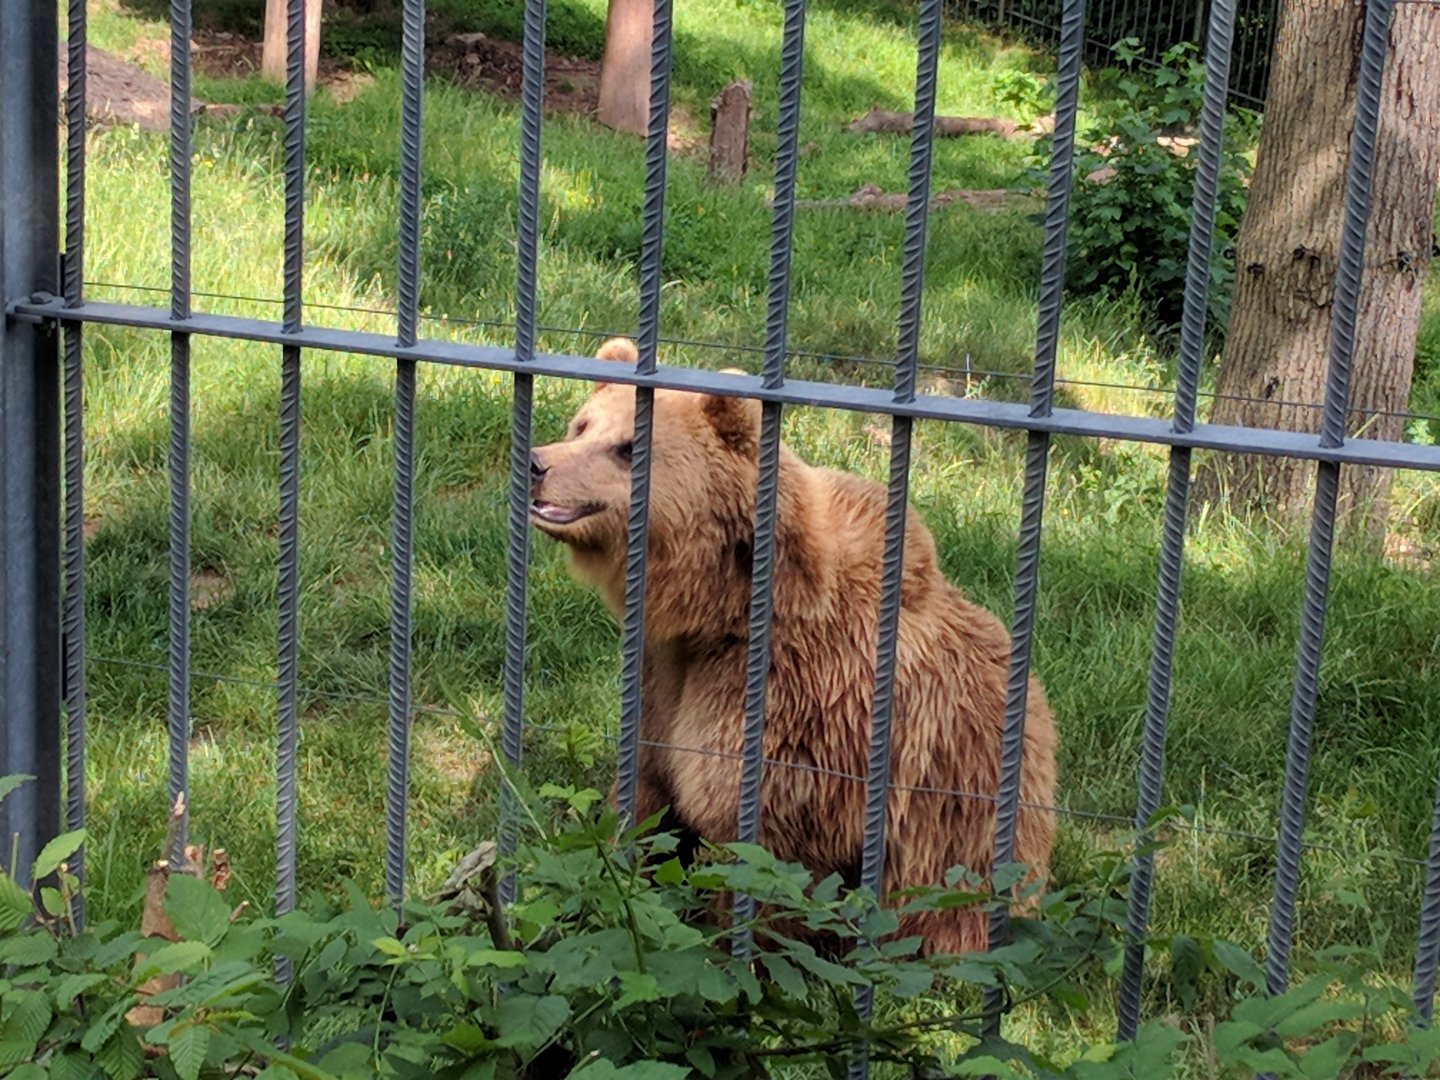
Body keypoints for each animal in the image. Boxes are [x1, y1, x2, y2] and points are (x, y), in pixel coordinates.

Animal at [528, 337, 1058, 956]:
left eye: (628, 447)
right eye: (582, 424)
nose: (539, 463)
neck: (719, 608)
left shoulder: (794, 705)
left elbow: (764, 852)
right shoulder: (664, 675)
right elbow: (648, 800)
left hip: (960, 827)